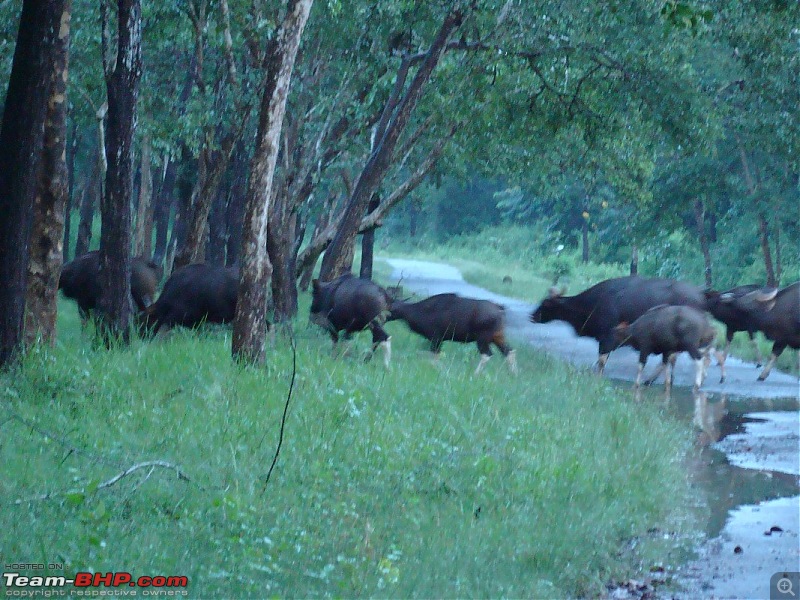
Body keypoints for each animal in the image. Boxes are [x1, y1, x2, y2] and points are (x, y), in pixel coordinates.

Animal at [390, 292, 520, 372]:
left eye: (390, 308)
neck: (418, 312)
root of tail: (500, 309)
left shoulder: (436, 338)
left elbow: (434, 356)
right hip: (498, 337)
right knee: (510, 351)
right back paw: (514, 374)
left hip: (483, 338)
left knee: (487, 354)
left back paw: (476, 374)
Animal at [532, 276, 708, 376]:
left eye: (545, 303)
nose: (532, 315)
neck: (591, 304)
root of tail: (701, 296)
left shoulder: (607, 338)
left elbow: (601, 362)